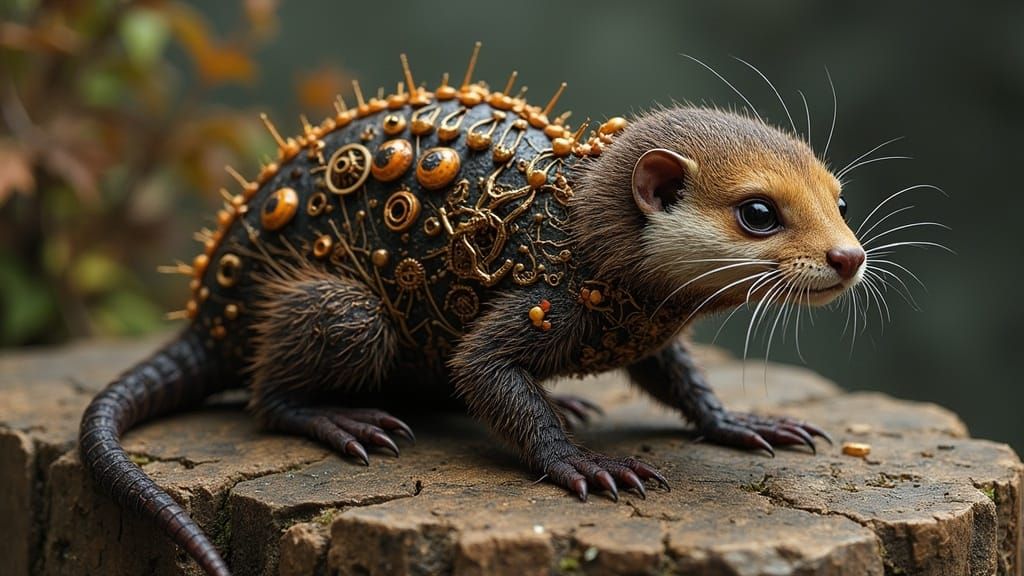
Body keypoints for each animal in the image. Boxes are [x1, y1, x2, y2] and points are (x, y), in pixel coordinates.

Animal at [79, 46, 864, 576]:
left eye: (841, 199)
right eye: (758, 213)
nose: (849, 257)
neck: (579, 228)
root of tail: (206, 317)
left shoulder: (645, 332)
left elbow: (680, 379)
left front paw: (742, 421)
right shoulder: (543, 304)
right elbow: (483, 368)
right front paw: (582, 462)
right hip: (347, 309)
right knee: (267, 395)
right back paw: (340, 419)